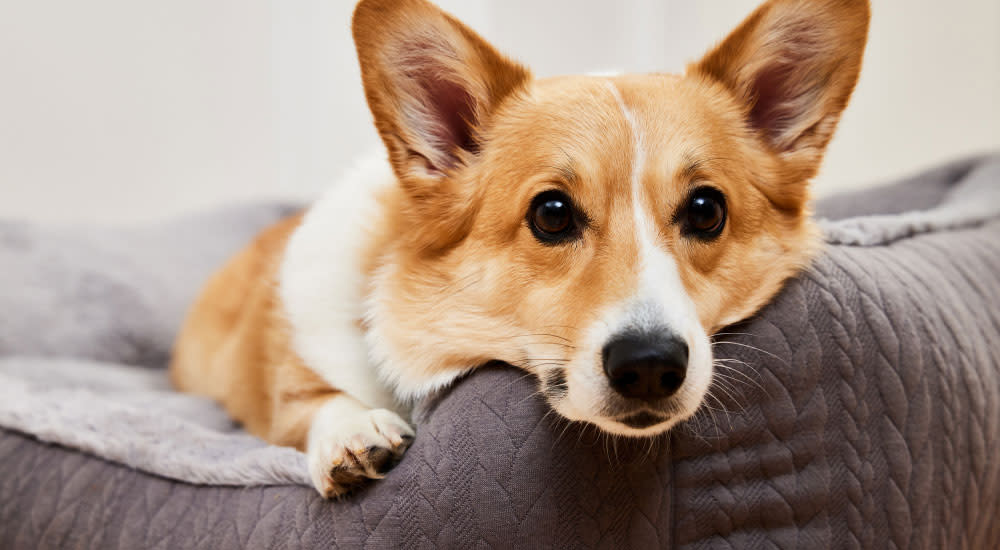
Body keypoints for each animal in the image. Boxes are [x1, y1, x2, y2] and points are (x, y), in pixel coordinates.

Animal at [170, 0, 868, 500]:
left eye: (706, 210)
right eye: (551, 214)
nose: (650, 366)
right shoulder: (285, 386)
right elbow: (311, 402)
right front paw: (354, 432)